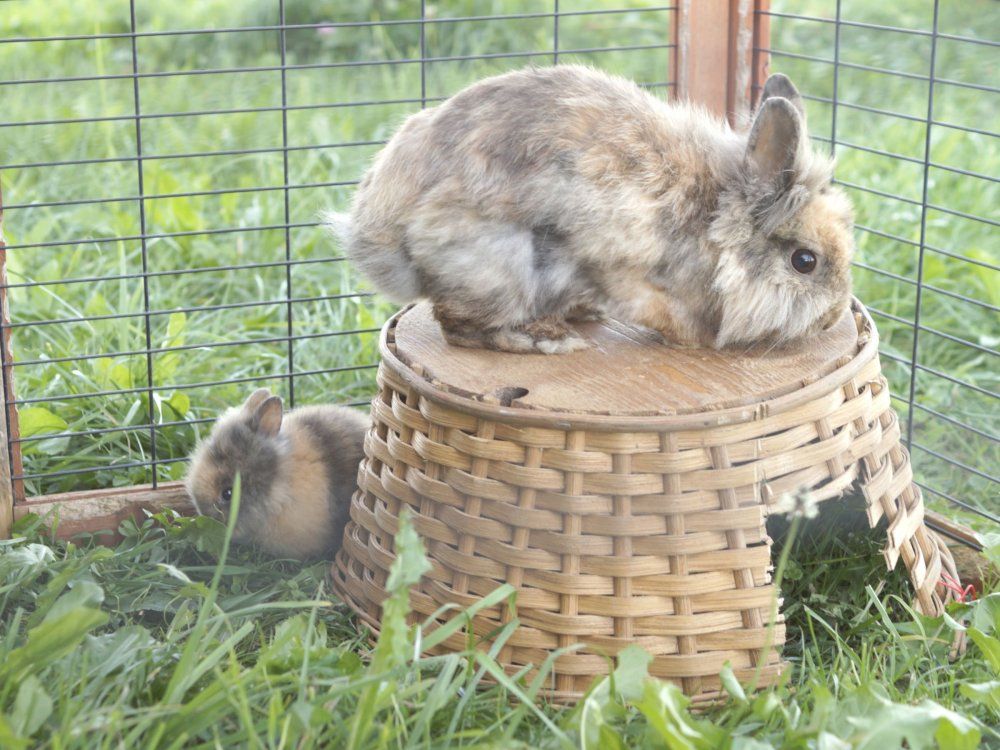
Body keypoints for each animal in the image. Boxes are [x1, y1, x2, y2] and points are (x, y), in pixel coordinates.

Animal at [327, 65, 854, 354]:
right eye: (804, 261)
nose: (833, 317)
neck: (713, 219)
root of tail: (374, 230)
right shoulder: (620, 270)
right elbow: (662, 313)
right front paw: (694, 340)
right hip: (495, 264)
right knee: (457, 324)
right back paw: (543, 339)